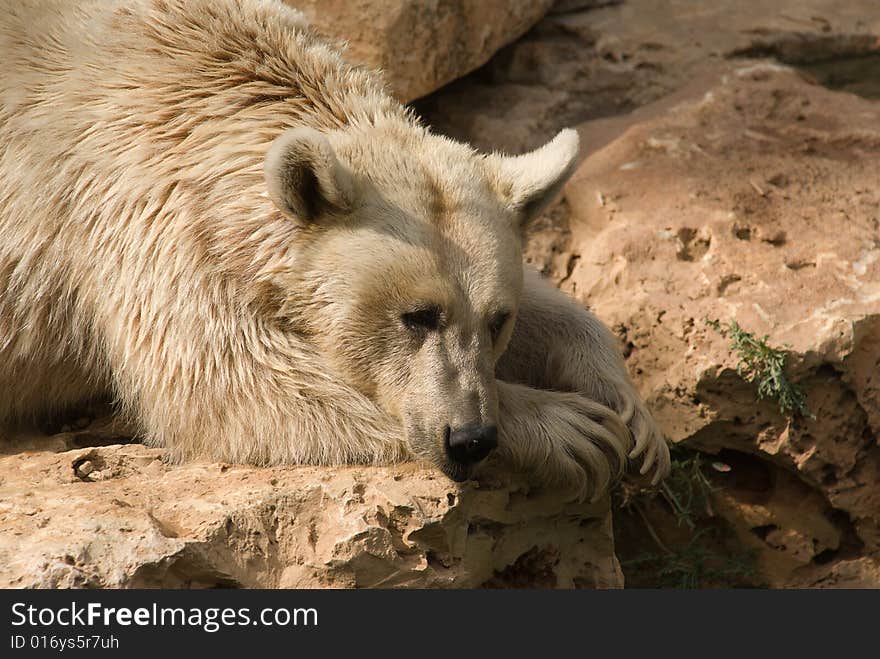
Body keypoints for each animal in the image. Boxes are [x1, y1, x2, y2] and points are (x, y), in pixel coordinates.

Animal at [0, 0, 672, 500]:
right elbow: (237, 386)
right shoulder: (145, 217)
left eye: (496, 319)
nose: (471, 438)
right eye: (417, 316)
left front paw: (632, 415)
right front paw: (572, 427)